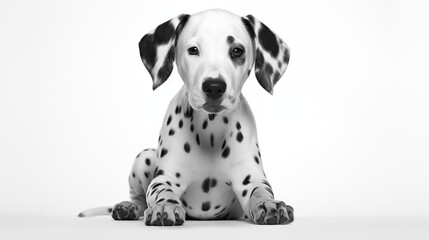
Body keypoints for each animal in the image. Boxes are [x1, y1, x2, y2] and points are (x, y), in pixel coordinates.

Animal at [78, 7, 292, 225]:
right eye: (193, 50)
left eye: (237, 51)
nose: (214, 86)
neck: (211, 131)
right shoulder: (165, 178)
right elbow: (162, 191)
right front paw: (166, 206)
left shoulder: (251, 178)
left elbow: (261, 190)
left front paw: (268, 204)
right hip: (144, 156)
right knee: (139, 198)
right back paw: (129, 207)